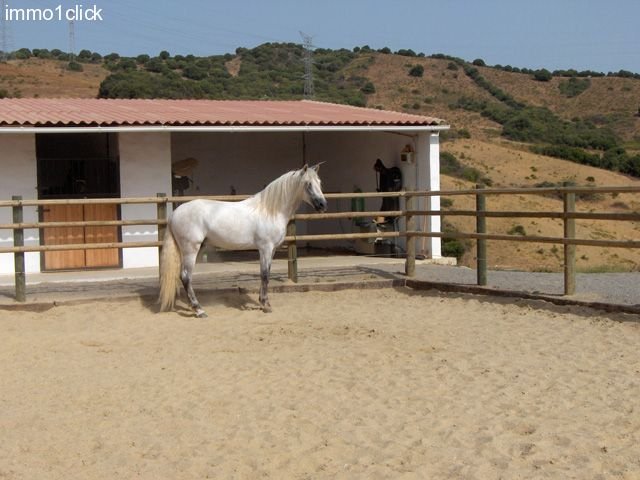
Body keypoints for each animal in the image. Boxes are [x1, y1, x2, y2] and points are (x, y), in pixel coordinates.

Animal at [158, 165, 328, 318]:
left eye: (319, 182)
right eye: (308, 184)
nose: (323, 205)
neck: (270, 210)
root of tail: (175, 213)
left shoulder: (272, 249)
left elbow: (265, 274)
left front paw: (264, 302)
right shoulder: (265, 248)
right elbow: (265, 275)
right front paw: (265, 305)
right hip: (190, 249)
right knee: (186, 276)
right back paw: (199, 310)